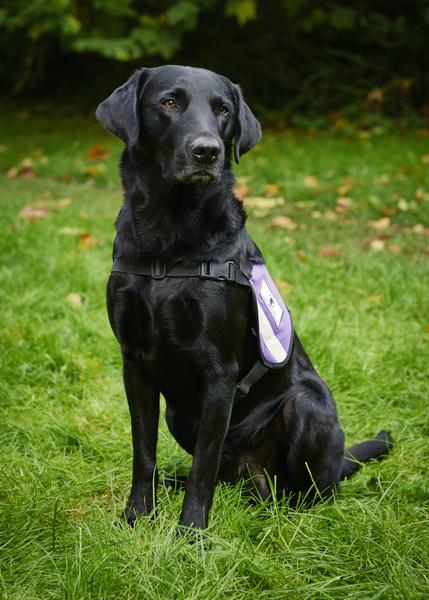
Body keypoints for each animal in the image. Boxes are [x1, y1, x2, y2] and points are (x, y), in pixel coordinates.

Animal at [96, 65, 392, 532]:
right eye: (169, 103)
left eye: (223, 110)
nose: (207, 152)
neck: (169, 240)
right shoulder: (134, 363)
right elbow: (143, 452)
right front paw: (136, 516)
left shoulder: (220, 371)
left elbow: (203, 465)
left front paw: (191, 533)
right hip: (180, 415)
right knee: (236, 479)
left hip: (306, 408)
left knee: (307, 489)